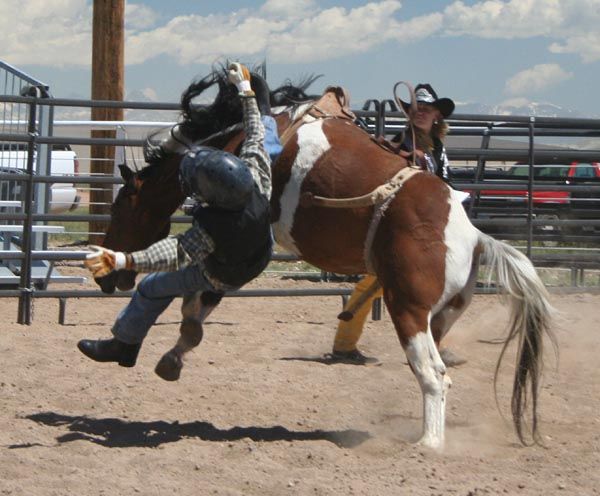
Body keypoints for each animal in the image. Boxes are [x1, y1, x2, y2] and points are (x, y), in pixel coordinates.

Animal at [98, 67, 552, 450]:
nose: (106, 281)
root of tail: (474, 236)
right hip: (440, 315)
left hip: (407, 308)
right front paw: (175, 353)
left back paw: (428, 444)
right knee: (433, 368)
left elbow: (204, 293)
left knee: (433, 374)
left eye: (119, 208)